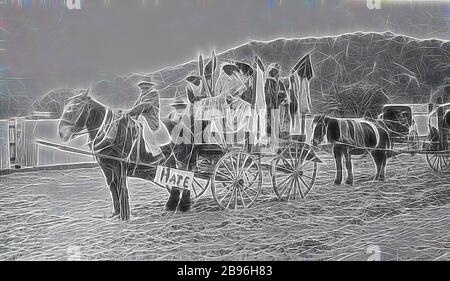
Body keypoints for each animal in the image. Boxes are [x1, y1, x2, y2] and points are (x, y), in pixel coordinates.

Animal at [58, 88, 192, 220]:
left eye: (73, 107)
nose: (61, 133)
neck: (110, 133)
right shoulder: (106, 167)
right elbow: (112, 186)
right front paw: (116, 213)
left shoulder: (120, 165)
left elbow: (121, 186)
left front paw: (124, 216)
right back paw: (172, 204)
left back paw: (180, 205)